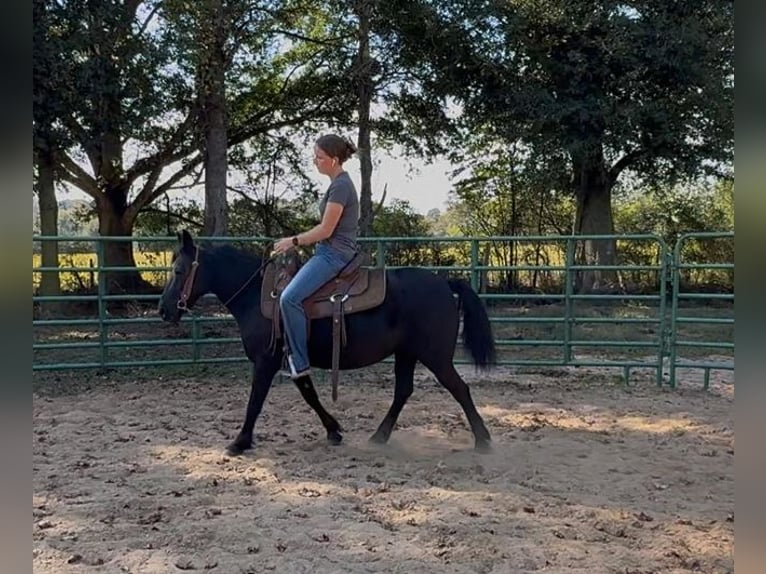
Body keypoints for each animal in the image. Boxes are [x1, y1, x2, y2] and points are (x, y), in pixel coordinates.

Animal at [157, 230, 496, 455]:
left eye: (178, 270)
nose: (163, 310)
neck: (256, 295)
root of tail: (445, 282)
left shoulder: (266, 361)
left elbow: (256, 401)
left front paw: (239, 442)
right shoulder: (291, 357)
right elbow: (308, 392)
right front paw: (333, 430)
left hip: (435, 356)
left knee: (460, 389)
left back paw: (483, 440)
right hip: (407, 353)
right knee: (403, 391)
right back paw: (379, 437)